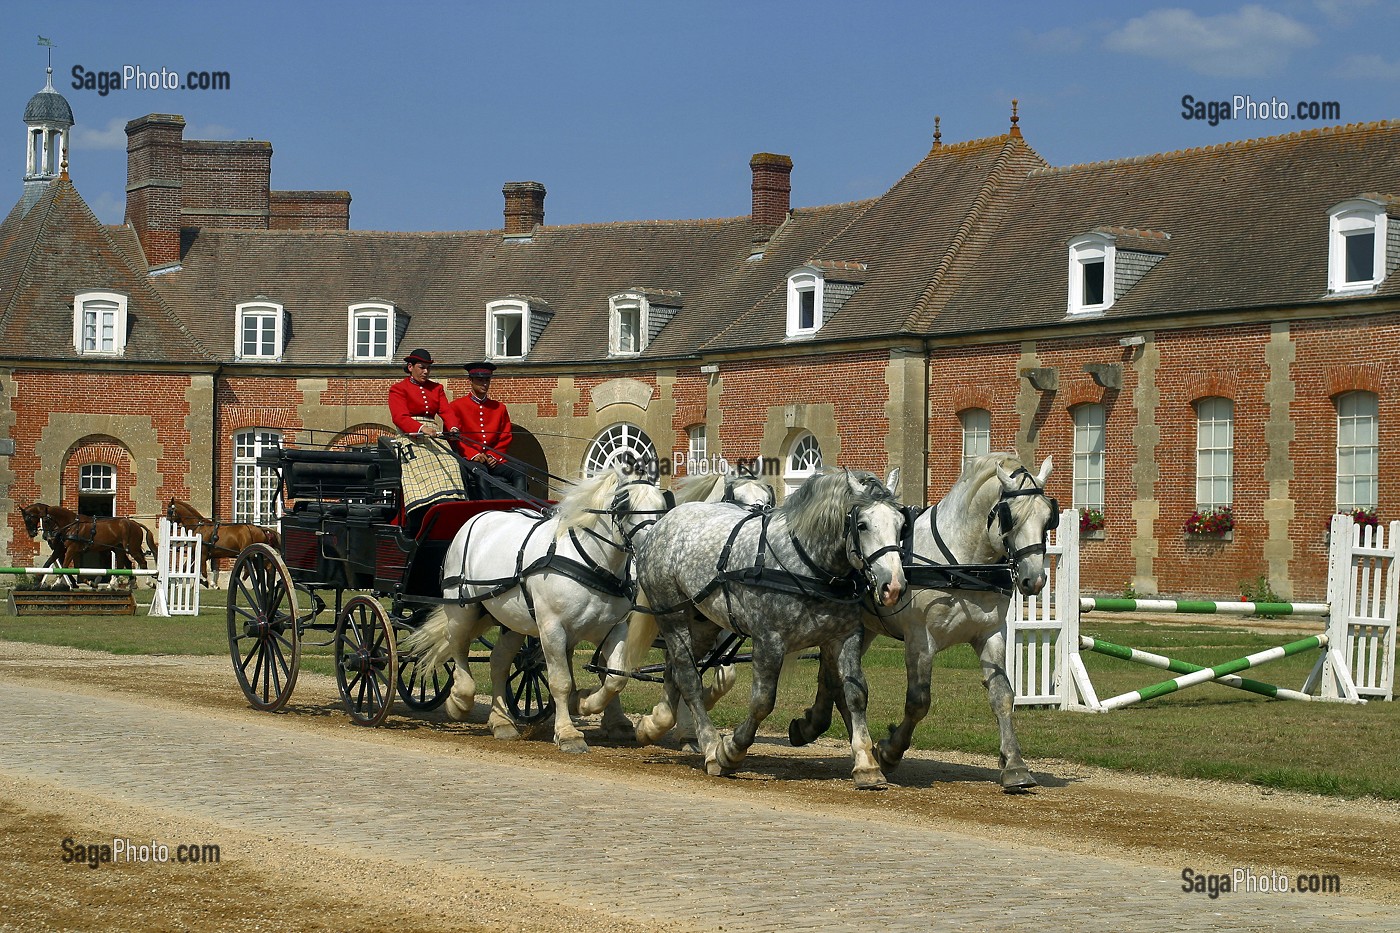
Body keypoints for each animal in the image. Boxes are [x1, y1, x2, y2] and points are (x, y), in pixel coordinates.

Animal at [19, 504, 157, 585]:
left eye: (46, 520)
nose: (46, 536)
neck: (71, 525)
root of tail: (135, 523)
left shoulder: (71, 549)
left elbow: (65, 565)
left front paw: (57, 582)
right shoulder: (70, 550)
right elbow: (68, 565)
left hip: (132, 548)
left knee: (142, 563)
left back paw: (147, 582)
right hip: (119, 549)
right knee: (125, 563)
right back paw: (122, 583)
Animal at [403, 467, 669, 750]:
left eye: (662, 505)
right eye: (625, 504)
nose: (654, 546)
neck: (590, 562)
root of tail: (477, 517)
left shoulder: (614, 630)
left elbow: (615, 677)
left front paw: (584, 702)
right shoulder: (552, 629)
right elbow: (561, 681)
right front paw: (568, 733)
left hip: (511, 621)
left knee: (498, 662)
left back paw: (501, 721)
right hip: (463, 608)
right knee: (457, 644)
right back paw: (460, 699)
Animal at [795, 453, 1052, 790]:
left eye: (1048, 517)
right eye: (1012, 517)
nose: (1034, 579)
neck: (959, 563)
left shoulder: (991, 633)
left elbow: (1002, 695)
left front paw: (1014, 764)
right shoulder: (920, 639)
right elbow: (918, 701)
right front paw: (890, 751)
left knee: (830, 674)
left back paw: (817, 726)